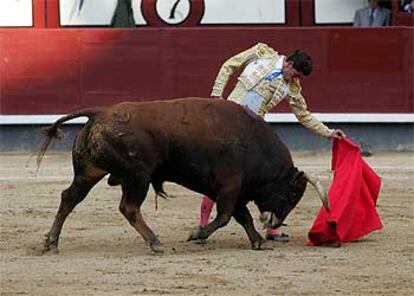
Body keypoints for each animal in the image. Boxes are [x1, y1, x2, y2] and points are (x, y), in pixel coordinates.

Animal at [37, 98, 328, 253]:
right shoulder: (230, 185)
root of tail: (98, 112)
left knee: (69, 197)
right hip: (137, 176)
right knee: (129, 208)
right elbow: (225, 216)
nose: (276, 222)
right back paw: (155, 242)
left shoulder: (233, 190)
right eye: (292, 194)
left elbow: (241, 217)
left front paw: (257, 241)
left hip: (90, 171)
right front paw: (196, 234)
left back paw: (51, 241)